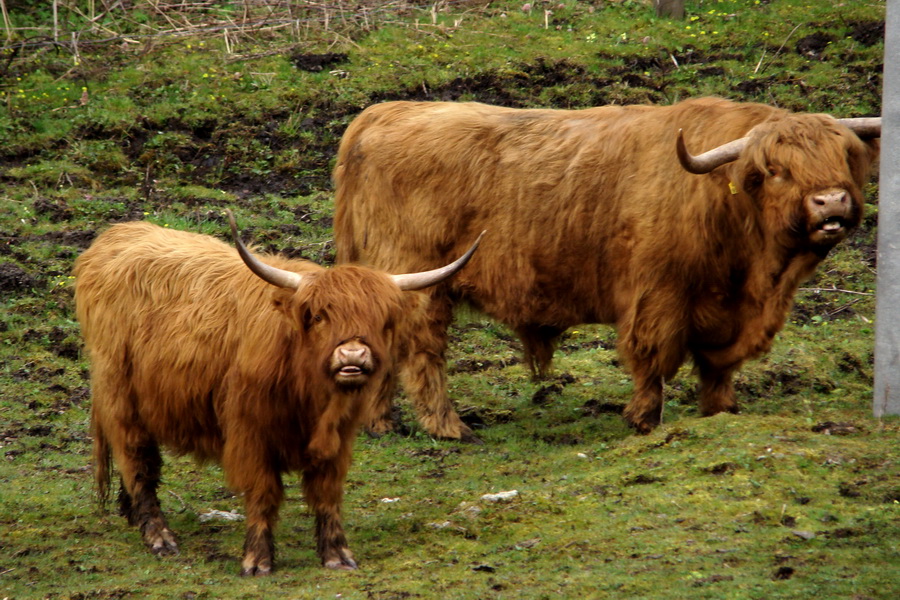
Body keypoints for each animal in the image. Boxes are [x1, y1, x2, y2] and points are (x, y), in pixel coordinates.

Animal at [74, 213, 482, 576]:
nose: (352, 356)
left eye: (382, 320)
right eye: (319, 316)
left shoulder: (338, 439)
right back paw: (159, 537)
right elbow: (263, 494)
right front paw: (258, 561)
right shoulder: (251, 436)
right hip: (120, 398)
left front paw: (337, 555)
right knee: (138, 461)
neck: (310, 395)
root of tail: (116, 236)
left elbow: (327, 495)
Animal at [334, 95, 884, 440]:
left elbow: (717, 365)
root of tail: (383, 112)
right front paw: (643, 420)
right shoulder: (658, 294)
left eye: (845, 156)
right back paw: (449, 427)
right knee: (423, 351)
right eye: (775, 170)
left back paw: (381, 424)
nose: (831, 202)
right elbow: (653, 358)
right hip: (421, 278)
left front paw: (721, 411)